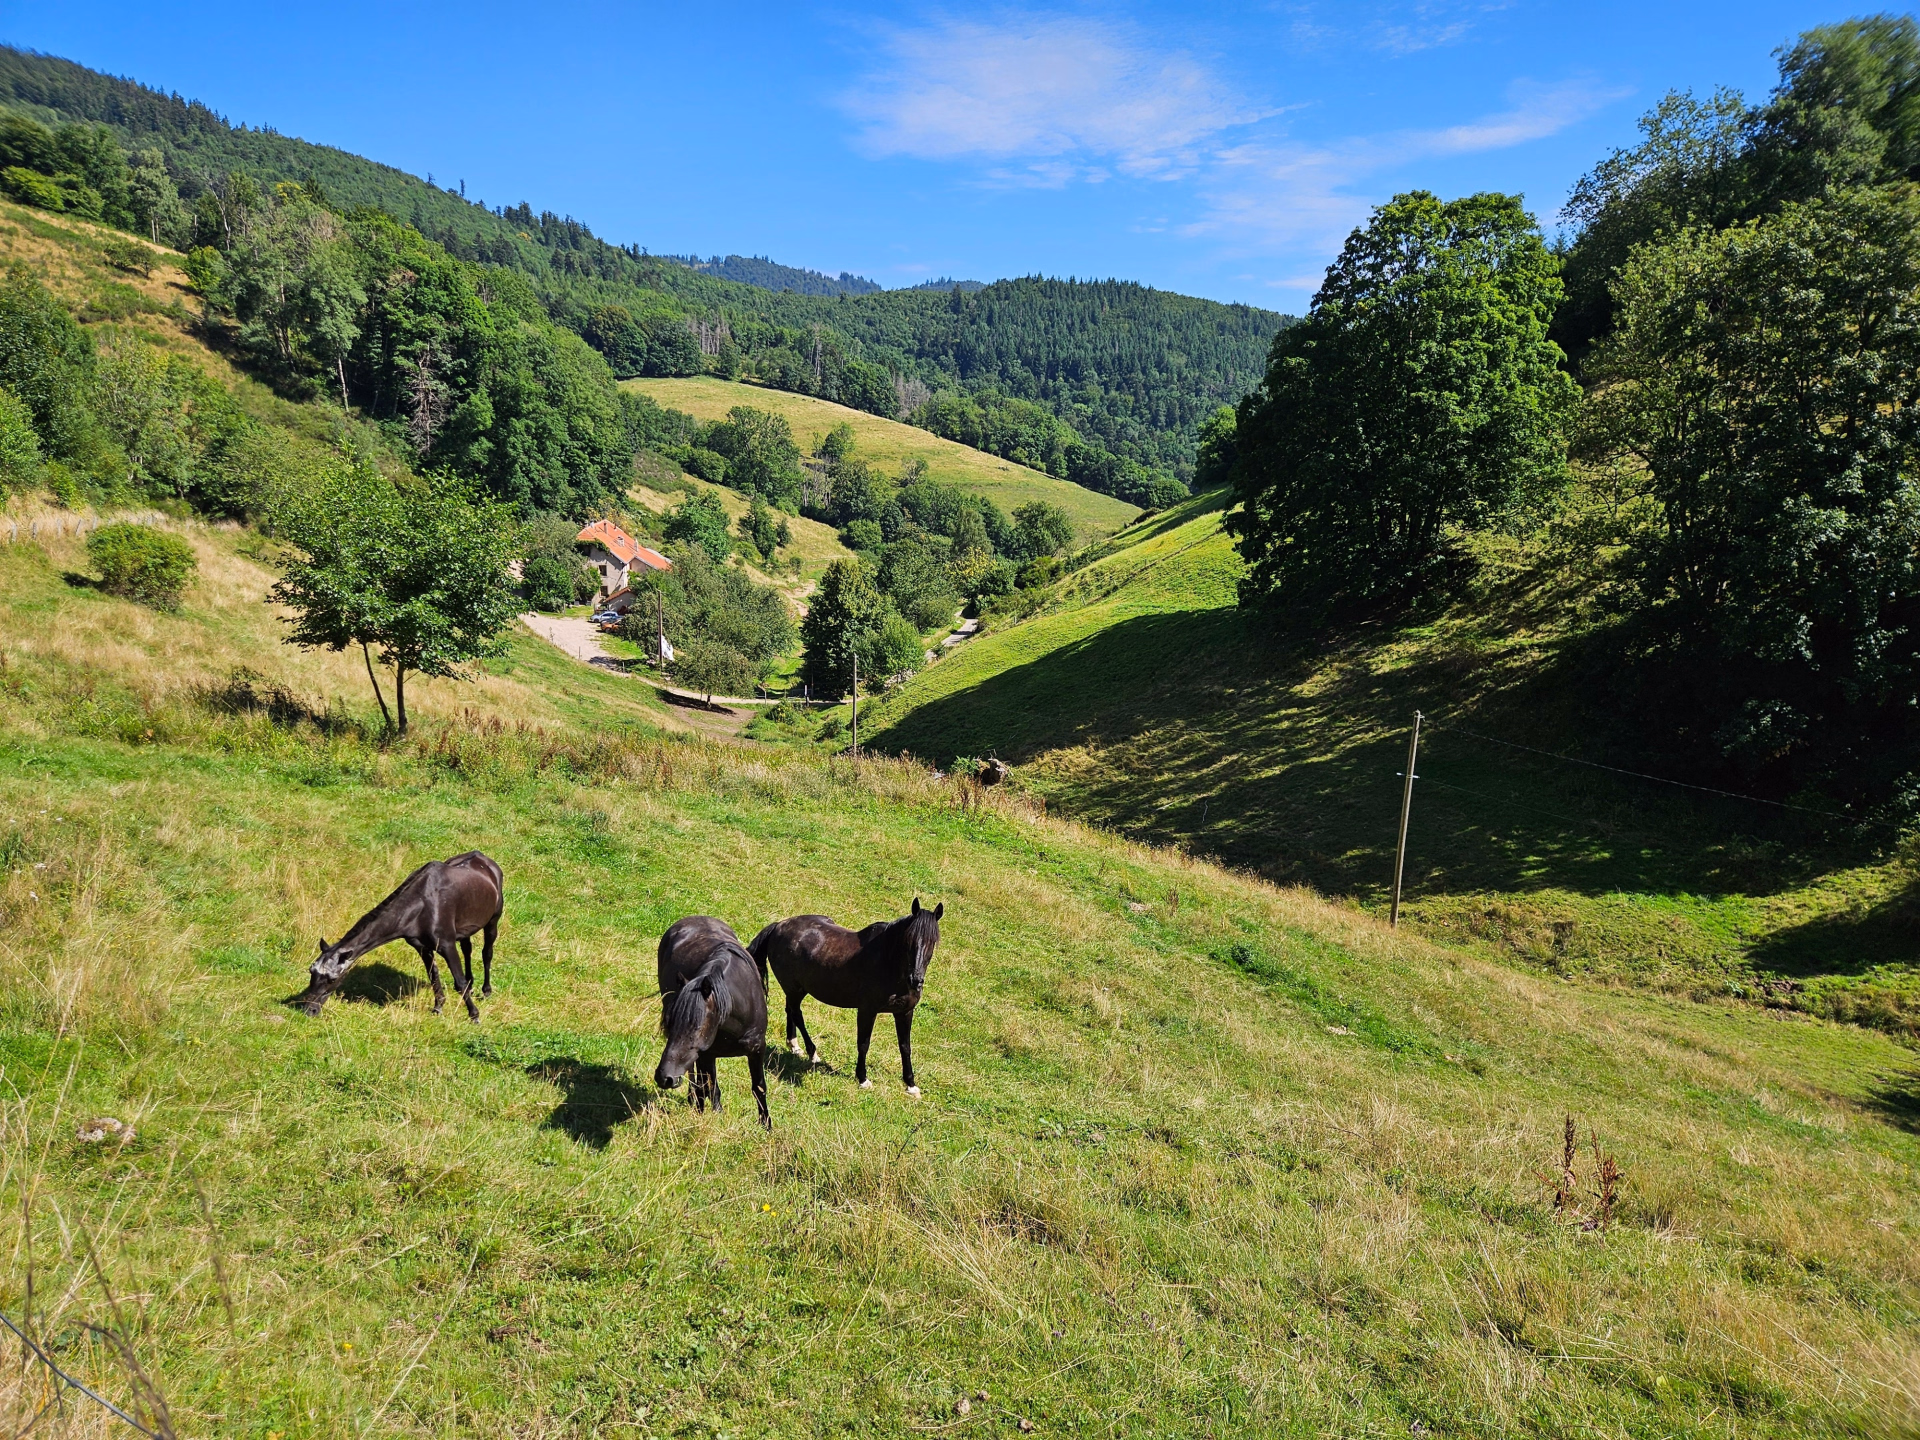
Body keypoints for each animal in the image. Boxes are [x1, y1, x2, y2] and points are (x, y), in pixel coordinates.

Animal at [295, 851, 503, 1020]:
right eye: (312, 972)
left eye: (332, 979)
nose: (309, 1010)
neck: (422, 904)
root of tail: (486, 860)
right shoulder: (422, 947)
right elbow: (433, 976)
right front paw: (438, 1006)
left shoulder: (446, 945)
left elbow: (459, 981)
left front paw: (474, 1015)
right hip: (465, 928)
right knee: (468, 949)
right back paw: (472, 984)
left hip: (492, 922)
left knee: (487, 953)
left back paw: (486, 990)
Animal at [654, 916, 771, 1129]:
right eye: (670, 1023)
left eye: (696, 1026)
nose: (664, 1077)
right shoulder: (705, 1053)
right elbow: (703, 1088)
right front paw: (699, 1117)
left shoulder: (757, 1048)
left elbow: (759, 1087)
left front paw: (766, 1126)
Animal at [749, 898, 942, 1096]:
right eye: (909, 940)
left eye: (933, 942)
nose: (916, 980)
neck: (889, 964)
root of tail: (778, 926)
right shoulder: (867, 1011)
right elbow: (864, 1043)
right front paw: (863, 1079)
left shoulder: (905, 1012)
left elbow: (905, 1047)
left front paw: (911, 1085)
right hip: (794, 988)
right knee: (796, 1014)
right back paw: (812, 1053)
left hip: (797, 989)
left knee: (790, 1010)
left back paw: (794, 1046)